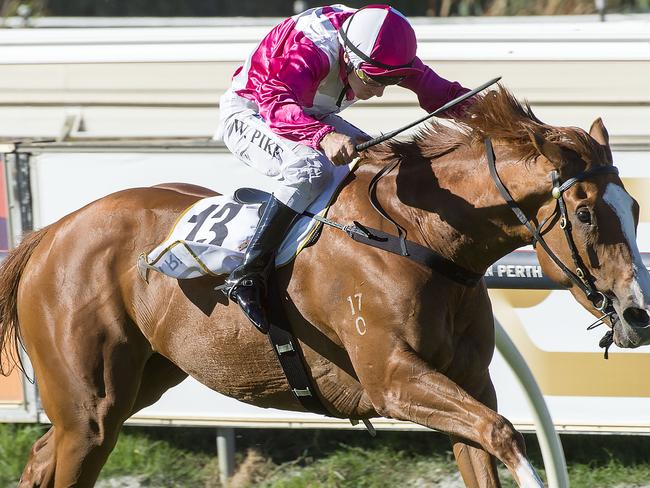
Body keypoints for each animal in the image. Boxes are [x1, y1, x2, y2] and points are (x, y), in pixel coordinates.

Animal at [1, 88, 648, 488]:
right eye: (585, 214)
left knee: (43, 455)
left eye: (635, 208)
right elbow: (504, 432)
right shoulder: (392, 378)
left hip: (138, 382)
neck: (422, 235)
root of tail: (52, 232)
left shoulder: (469, 381)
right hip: (89, 410)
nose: (637, 314)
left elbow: (487, 439)